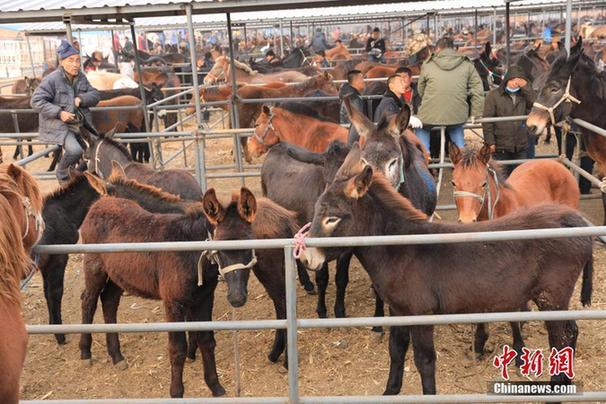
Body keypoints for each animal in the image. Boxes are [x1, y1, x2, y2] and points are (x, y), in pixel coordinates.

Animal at [302, 144, 596, 396]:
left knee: (561, 338)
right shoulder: (399, 311)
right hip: (554, 298)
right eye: (316, 210)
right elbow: (396, 351)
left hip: (551, 298)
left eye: (332, 218)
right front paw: (390, 392)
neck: (400, 248)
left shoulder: (420, 314)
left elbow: (424, 361)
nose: (305, 258)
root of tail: (573, 221)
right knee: (571, 332)